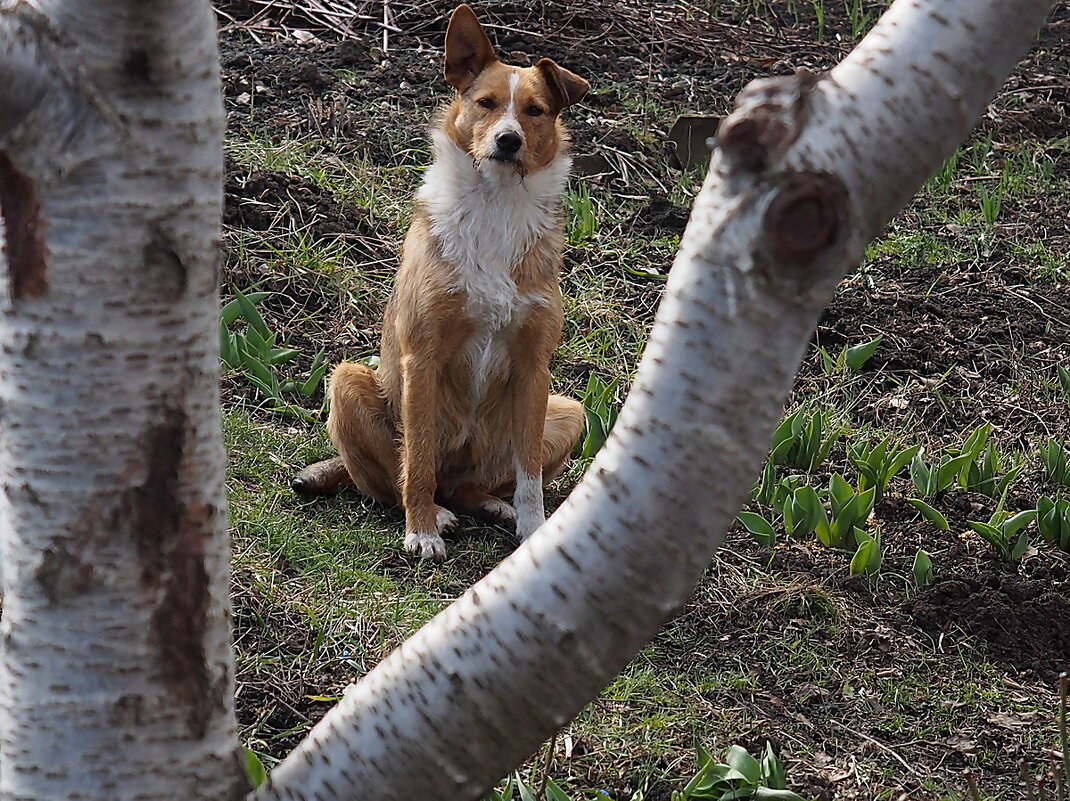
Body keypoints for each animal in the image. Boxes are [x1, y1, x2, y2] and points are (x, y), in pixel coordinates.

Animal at [293, 4, 590, 560]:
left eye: (536, 111)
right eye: (486, 103)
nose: (508, 140)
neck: (496, 205)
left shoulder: (535, 367)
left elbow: (530, 475)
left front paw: (533, 528)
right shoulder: (422, 357)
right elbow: (417, 460)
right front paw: (422, 531)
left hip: (569, 411)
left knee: (475, 484)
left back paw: (491, 505)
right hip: (347, 381)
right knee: (399, 480)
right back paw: (437, 513)